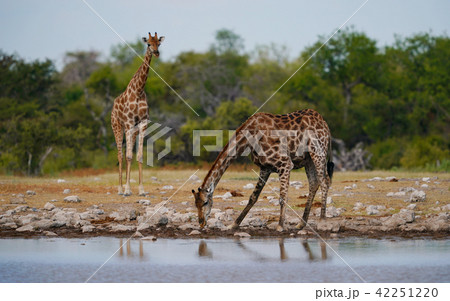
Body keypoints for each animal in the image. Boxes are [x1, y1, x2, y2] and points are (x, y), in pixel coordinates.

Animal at [111, 31, 165, 196]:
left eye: (159, 43)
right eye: (148, 43)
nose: (156, 53)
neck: (139, 90)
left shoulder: (142, 123)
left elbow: (139, 156)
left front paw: (141, 190)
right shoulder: (128, 122)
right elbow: (128, 156)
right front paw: (128, 189)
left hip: (132, 129)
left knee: (126, 153)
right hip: (117, 126)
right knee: (120, 155)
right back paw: (120, 189)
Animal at [192, 109, 332, 231]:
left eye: (205, 202)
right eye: (195, 204)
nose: (201, 223)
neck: (250, 136)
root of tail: (325, 123)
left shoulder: (285, 164)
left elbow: (283, 197)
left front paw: (280, 226)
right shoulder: (265, 168)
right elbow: (253, 197)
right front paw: (233, 224)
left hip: (318, 152)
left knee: (324, 181)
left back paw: (322, 221)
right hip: (308, 159)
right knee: (314, 183)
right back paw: (301, 224)